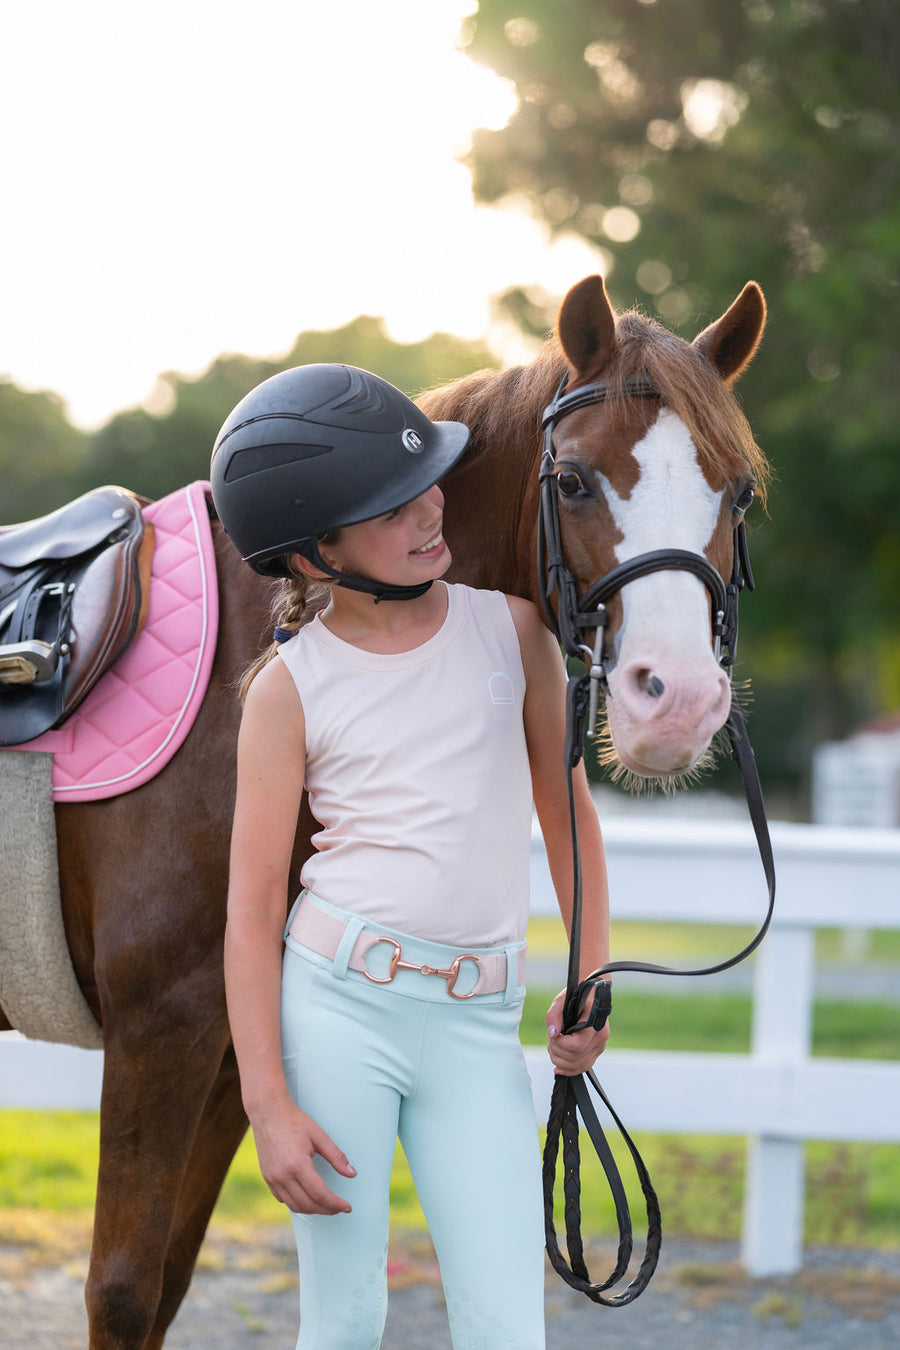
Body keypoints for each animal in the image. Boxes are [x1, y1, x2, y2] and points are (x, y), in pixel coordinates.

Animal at [5, 268, 766, 1344]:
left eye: (737, 489)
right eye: (574, 480)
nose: (682, 702)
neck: (255, 665)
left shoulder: (238, 1058)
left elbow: (165, 1284)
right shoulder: (160, 1034)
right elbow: (121, 1289)